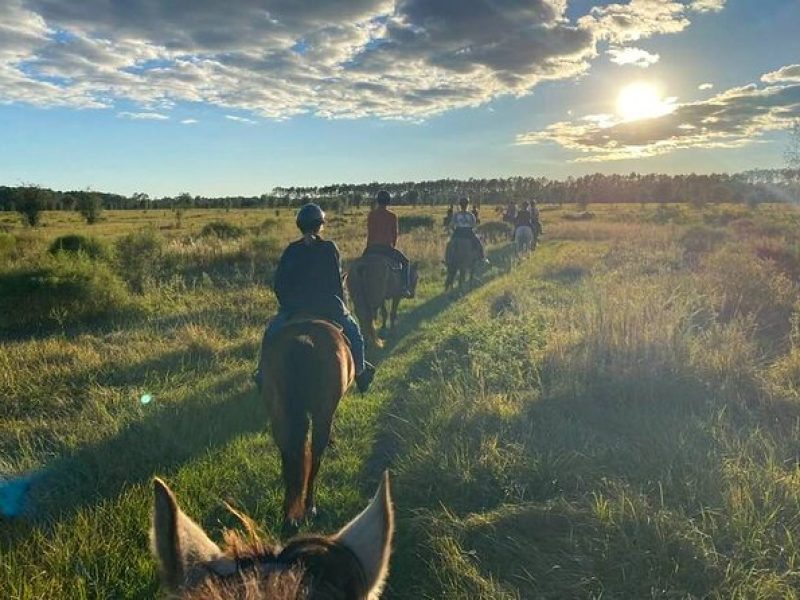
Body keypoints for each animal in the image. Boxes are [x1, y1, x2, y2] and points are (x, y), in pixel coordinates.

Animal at [260, 318, 354, 524]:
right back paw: (310, 507)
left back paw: (289, 512)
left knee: (289, 458)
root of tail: (304, 340)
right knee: (314, 459)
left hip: (279, 417)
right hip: (322, 416)